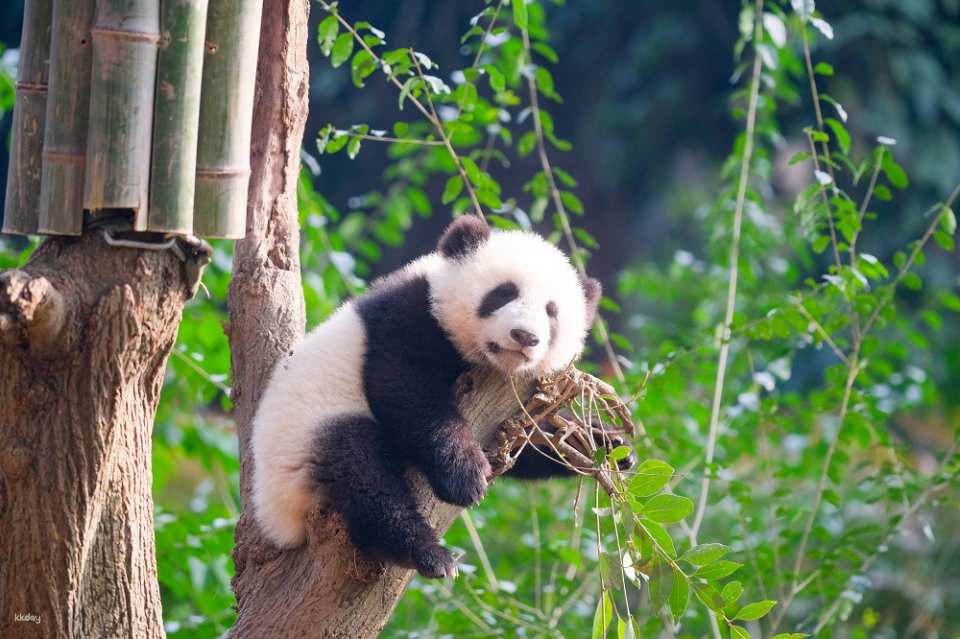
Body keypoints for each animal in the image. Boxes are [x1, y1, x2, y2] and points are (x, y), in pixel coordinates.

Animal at [251, 216, 606, 579]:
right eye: (502, 293)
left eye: (552, 312)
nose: (525, 336)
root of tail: (277, 523)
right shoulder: (409, 317)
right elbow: (406, 390)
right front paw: (465, 477)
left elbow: (528, 446)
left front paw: (601, 443)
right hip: (303, 444)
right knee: (361, 473)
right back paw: (425, 553)